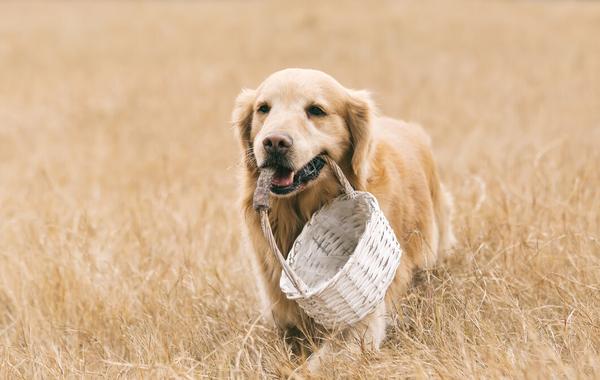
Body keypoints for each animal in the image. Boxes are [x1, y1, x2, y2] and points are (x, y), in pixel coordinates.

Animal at [233, 69, 454, 372]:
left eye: (316, 110)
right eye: (263, 108)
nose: (274, 142)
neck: (300, 212)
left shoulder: (362, 321)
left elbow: (311, 367)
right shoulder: (279, 315)